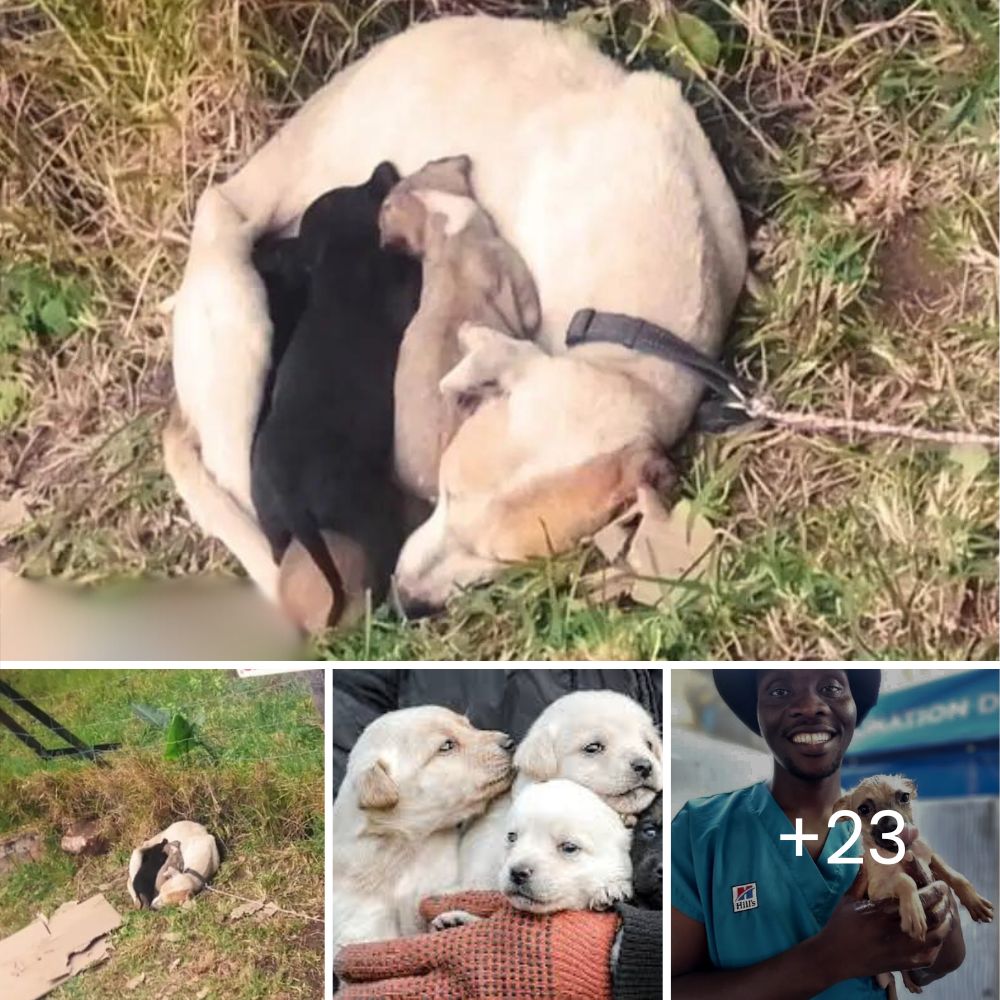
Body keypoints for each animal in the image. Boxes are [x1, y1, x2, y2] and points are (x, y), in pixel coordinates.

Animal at [252, 162, 424, 632]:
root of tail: (295, 499)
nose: (384, 168)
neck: (339, 262)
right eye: (366, 194)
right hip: (371, 515)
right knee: (380, 570)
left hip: (274, 527)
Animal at [836, 776, 992, 996]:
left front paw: (975, 902)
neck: (898, 854)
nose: (892, 825)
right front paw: (913, 912)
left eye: (904, 797)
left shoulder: (928, 856)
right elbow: (904, 880)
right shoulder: (877, 889)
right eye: (864, 809)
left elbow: (954, 875)